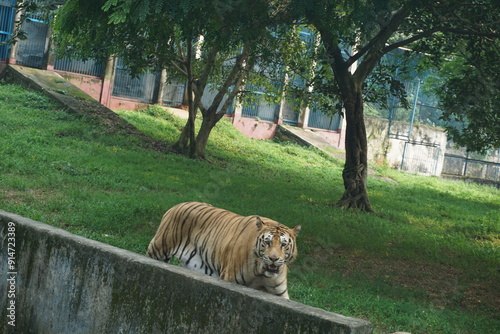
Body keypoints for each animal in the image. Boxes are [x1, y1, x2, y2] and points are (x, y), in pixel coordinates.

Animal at [145, 202, 300, 298]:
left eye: (283, 244)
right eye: (267, 242)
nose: (273, 258)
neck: (261, 273)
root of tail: (176, 205)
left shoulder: (279, 293)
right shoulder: (230, 279)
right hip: (157, 250)